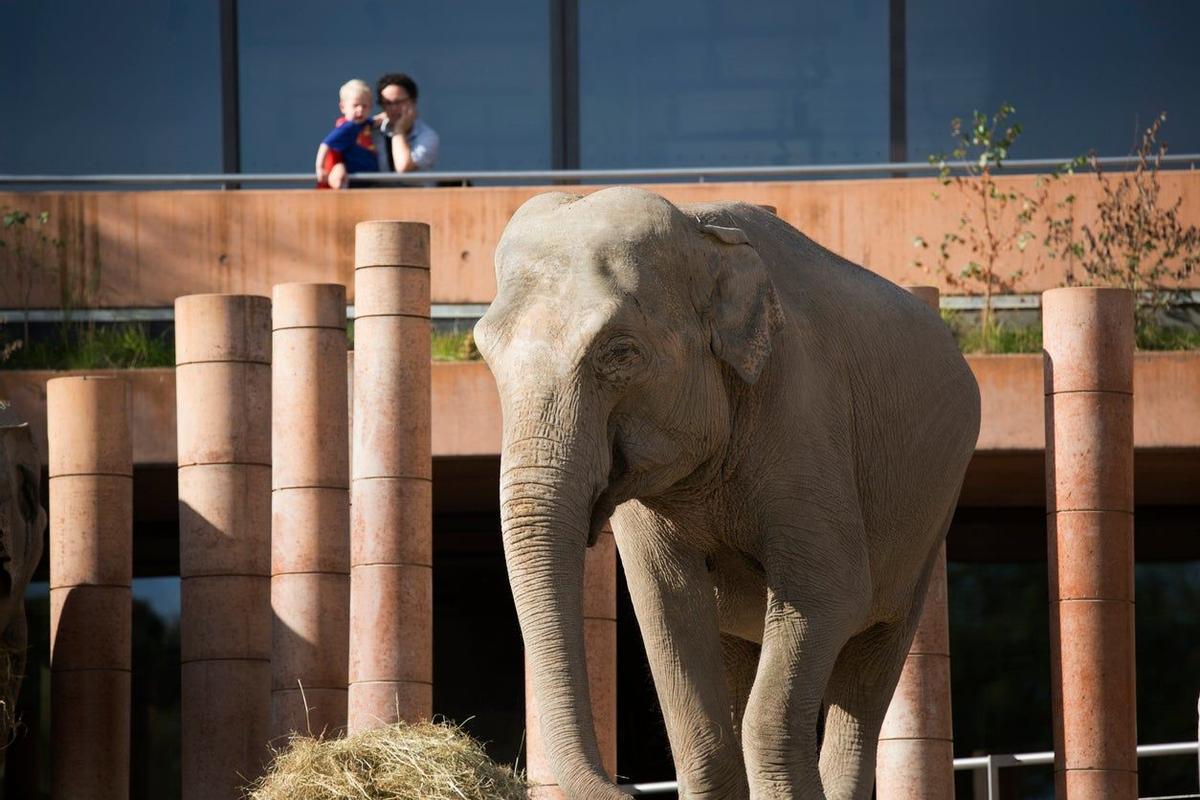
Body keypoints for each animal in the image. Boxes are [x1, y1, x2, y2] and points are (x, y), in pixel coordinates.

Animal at [472, 188, 979, 800]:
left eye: (621, 352)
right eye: (485, 354)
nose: (628, 789)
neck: (702, 233)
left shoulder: (803, 414)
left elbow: (829, 592)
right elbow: (666, 605)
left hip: (931, 516)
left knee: (871, 662)